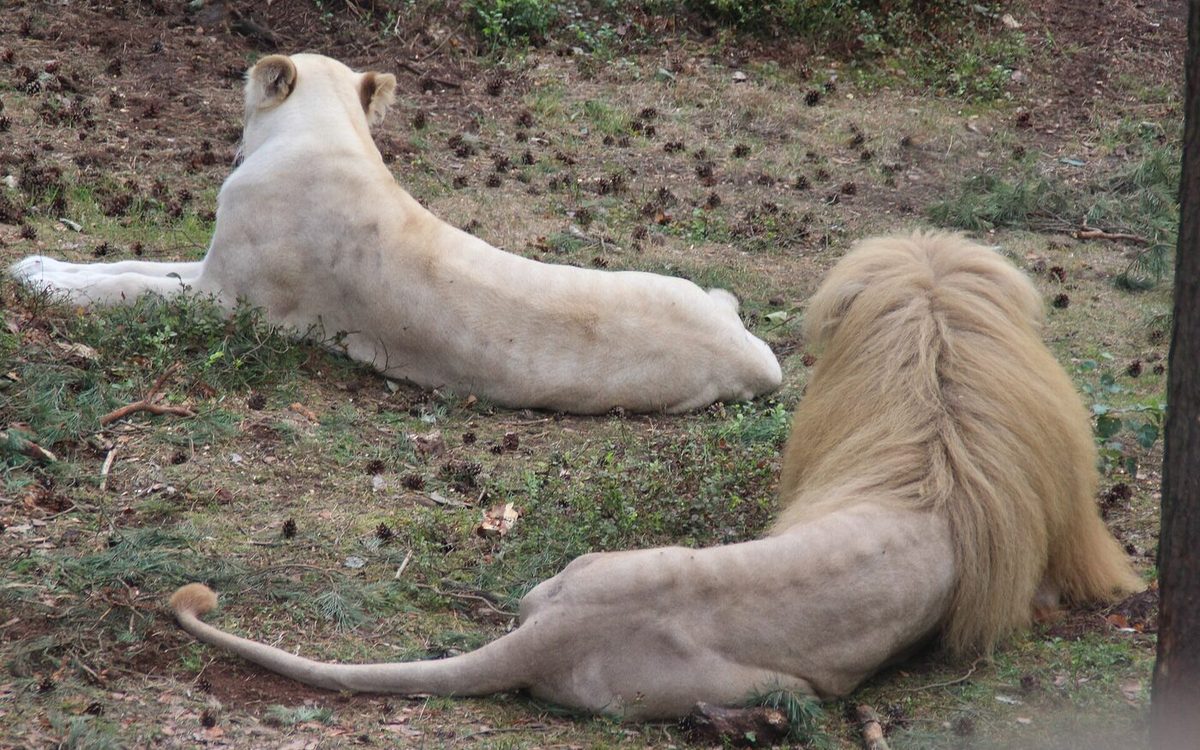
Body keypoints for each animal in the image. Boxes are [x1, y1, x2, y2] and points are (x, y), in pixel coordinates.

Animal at [8, 53, 780, 415]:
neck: (329, 133)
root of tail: (751, 351)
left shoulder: (227, 300)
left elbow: (128, 286)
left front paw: (39, 282)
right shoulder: (210, 269)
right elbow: (125, 266)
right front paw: (38, 263)